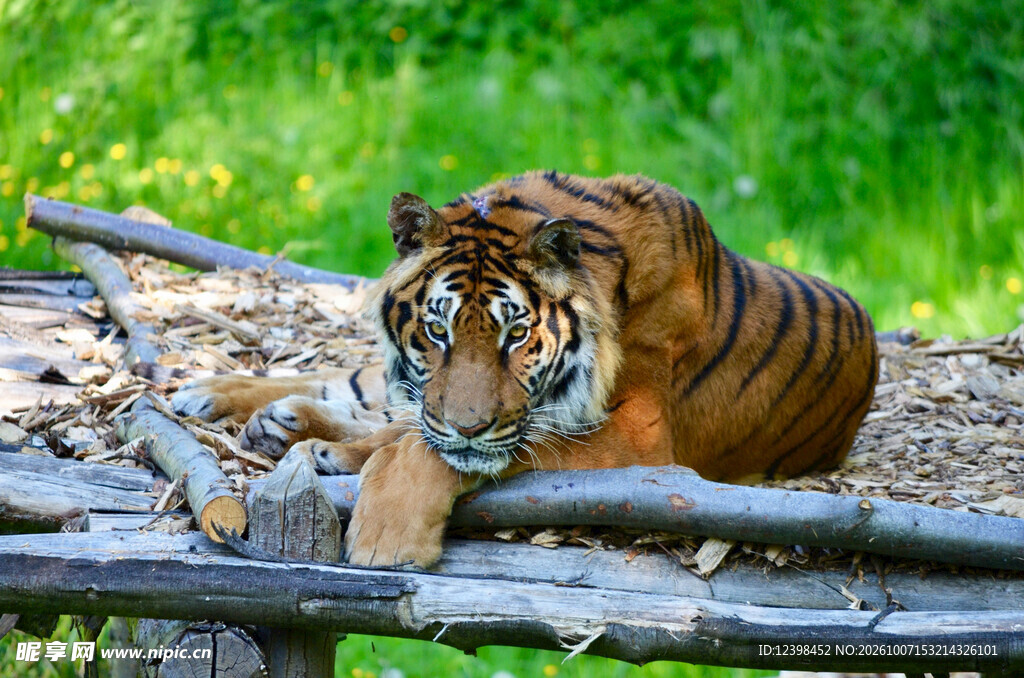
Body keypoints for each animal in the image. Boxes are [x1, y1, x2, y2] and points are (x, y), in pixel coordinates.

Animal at [172, 171, 879, 567]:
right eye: (438, 330)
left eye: (516, 336)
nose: (467, 425)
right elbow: (415, 429)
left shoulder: (641, 438)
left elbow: (427, 449)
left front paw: (386, 539)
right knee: (364, 391)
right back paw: (221, 400)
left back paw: (303, 437)